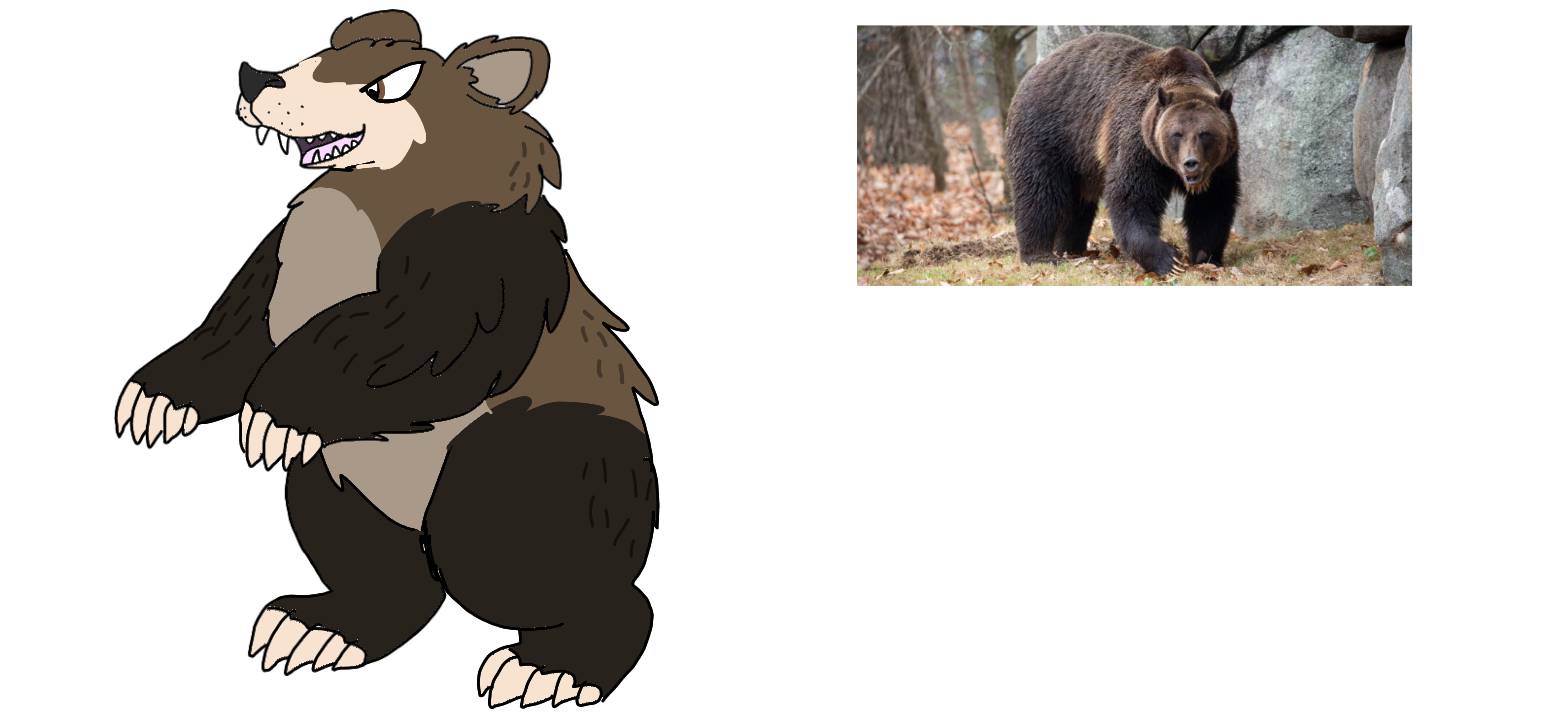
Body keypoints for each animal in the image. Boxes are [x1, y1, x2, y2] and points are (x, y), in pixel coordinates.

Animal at [112, 10, 658, 709]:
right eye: (320, 51)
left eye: (385, 85)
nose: (255, 77)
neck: (375, 195)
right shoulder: (286, 259)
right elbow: (241, 324)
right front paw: (156, 400)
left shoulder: (479, 267)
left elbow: (419, 344)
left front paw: (274, 415)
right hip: (350, 478)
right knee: (382, 563)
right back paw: (315, 629)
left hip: (549, 468)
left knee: (530, 560)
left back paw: (551, 666)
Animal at [1004, 32, 1240, 275]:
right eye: (1177, 134)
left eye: (1205, 134)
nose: (1190, 163)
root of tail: (1033, 70)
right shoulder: (1138, 143)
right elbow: (1131, 197)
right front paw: (1168, 260)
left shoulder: (1222, 164)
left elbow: (1213, 202)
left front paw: (1206, 256)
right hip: (1049, 132)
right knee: (1039, 192)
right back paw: (1040, 255)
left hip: (1081, 160)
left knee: (1078, 204)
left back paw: (1070, 249)